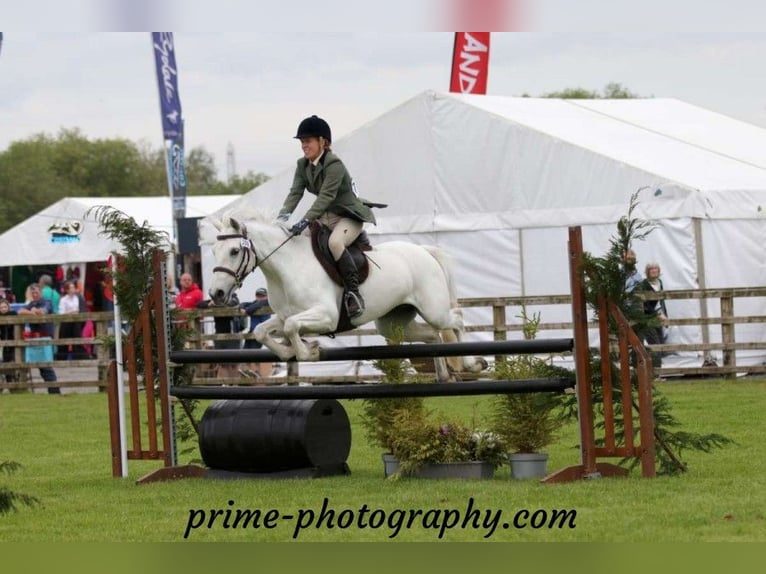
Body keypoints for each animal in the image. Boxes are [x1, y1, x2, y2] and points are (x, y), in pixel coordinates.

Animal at [208, 209, 486, 380]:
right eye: (213, 250)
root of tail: (425, 251)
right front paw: (290, 353)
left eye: (234, 251)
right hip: (393, 321)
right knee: (431, 335)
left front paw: (311, 351)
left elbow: (291, 327)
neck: (287, 268)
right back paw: (443, 375)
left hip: (433, 309)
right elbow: (262, 331)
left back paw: (473, 363)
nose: (216, 293)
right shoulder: (285, 314)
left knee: (456, 321)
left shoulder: (326, 316)